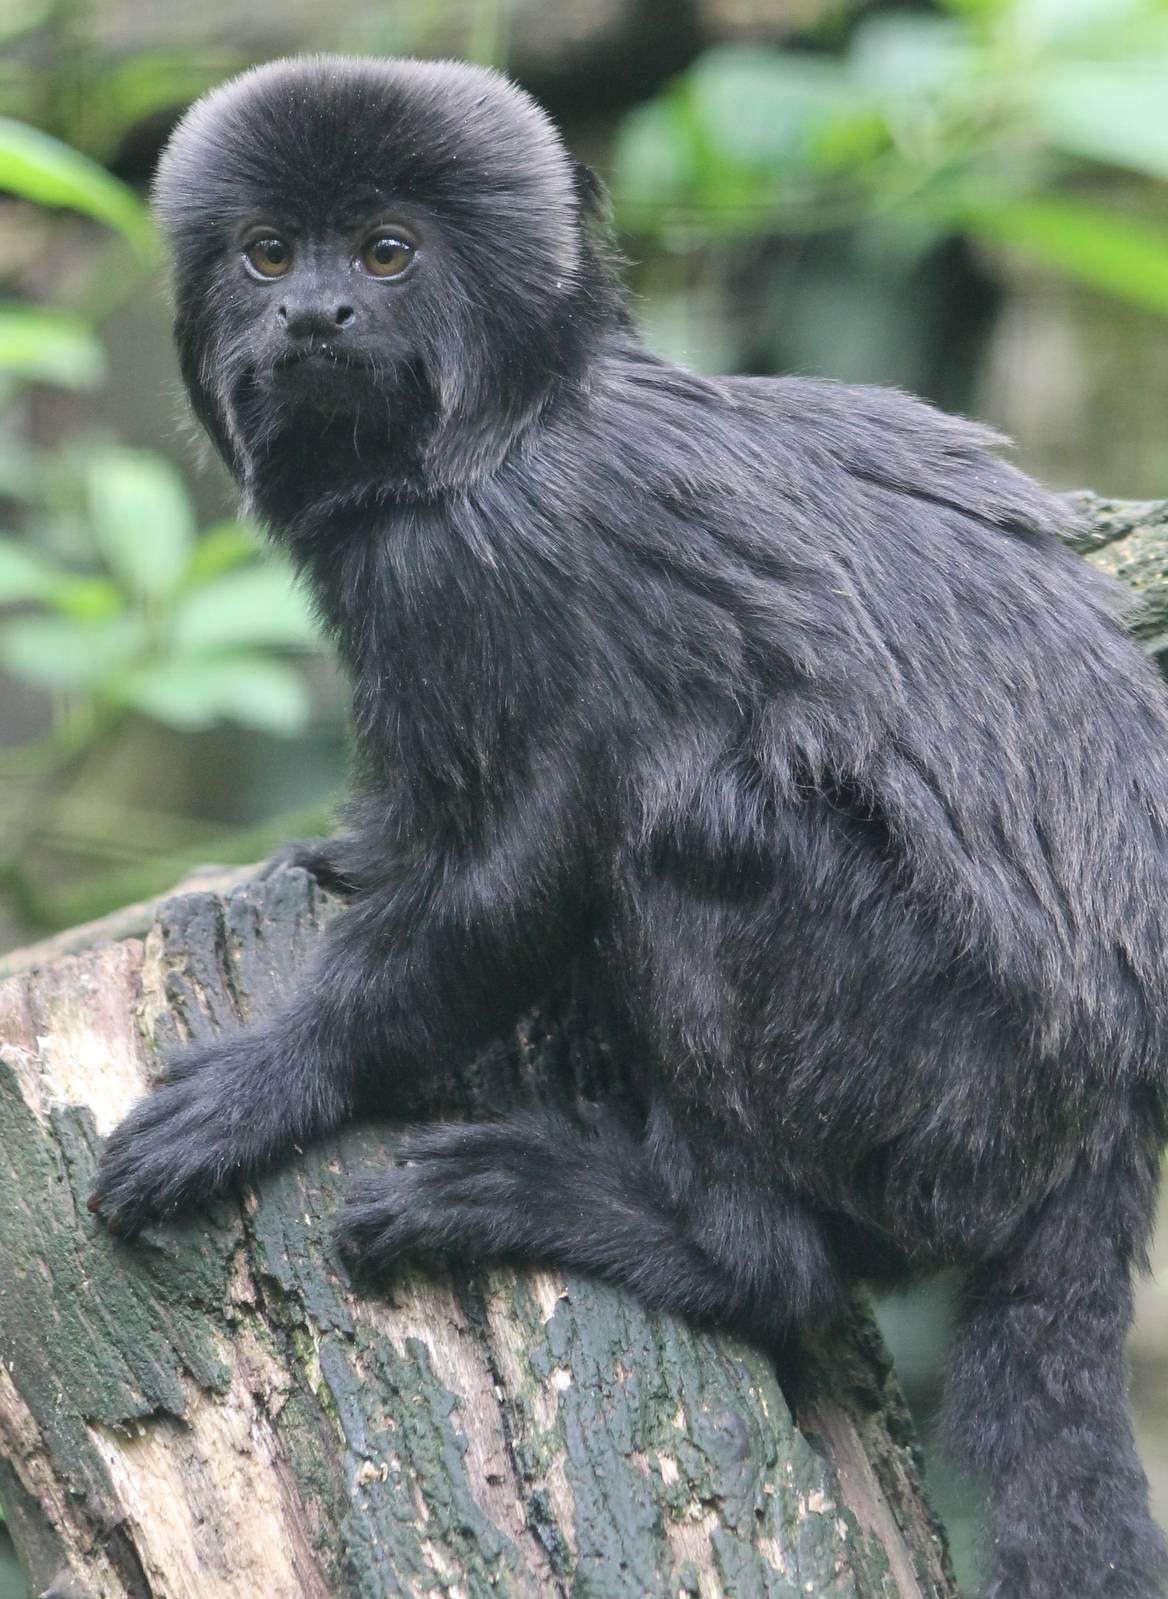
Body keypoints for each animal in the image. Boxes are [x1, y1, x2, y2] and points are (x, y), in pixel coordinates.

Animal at [88, 55, 1168, 1599]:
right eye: (270, 256)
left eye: (386, 255)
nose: (316, 318)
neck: (505, 427)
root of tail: (1111, 1099)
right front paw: (359, 854)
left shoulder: (489, 570)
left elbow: (526, 868)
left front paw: (269, 1086)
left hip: (945, 1079)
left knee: (687, 845)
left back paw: (675, 1234)